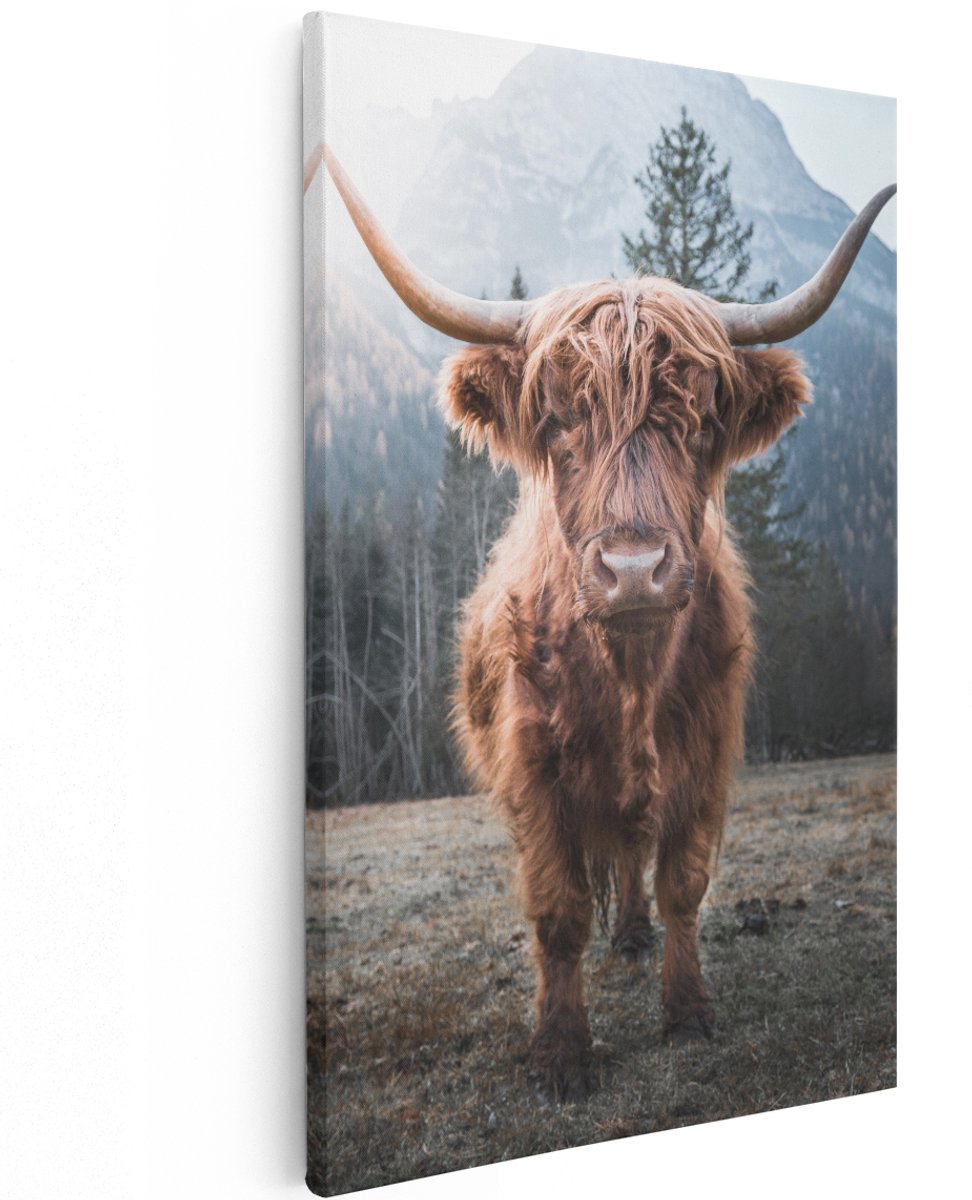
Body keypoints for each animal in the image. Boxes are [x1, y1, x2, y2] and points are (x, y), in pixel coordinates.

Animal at [307, 142, 895, 1104]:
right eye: (556, 422)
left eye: (698, 420)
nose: (632, 570)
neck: (630, 676)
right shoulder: (532, 769)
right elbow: (556, 911)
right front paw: (560, 1053)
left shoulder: (708, 753)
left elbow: (683, 881)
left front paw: (687, 1012)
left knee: (631, 854)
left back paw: (634, 938)